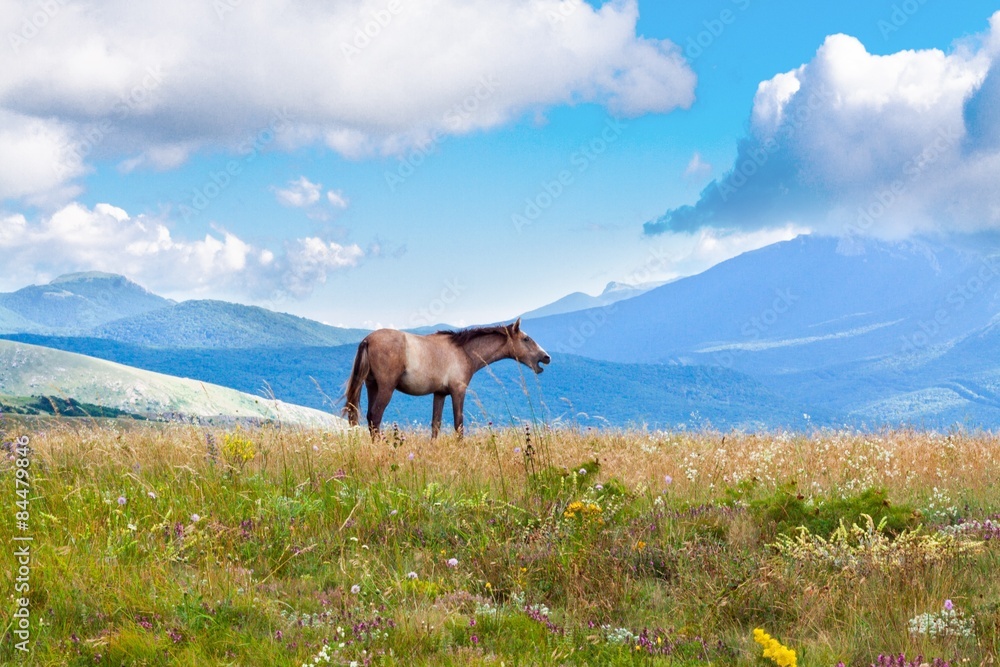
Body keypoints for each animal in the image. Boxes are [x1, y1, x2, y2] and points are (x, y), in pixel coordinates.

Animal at [342, 318, 548, 438]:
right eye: (526, 339)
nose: (546, 357)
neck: (463, 351)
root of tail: (367, 340)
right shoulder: (458, 391)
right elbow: (459, 425)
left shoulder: (439, 394)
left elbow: (436, 425)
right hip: (386, 388)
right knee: (376, 417)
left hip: (372, 386)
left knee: (370, 418)